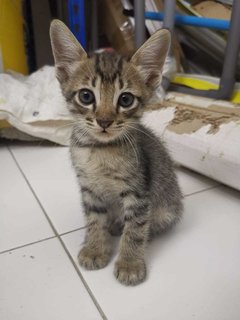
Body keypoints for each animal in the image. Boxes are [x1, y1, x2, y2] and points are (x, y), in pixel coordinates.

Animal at [50, 19, 182, 284]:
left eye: (126, 100)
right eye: (86, 96)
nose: (104, 121)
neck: (100, 151)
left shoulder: (138, 192)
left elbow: (136, 228)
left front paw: (130, 263)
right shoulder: (89, 189)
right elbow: (93, 220)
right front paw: (95, 248)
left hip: (167, 208)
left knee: (151, 225)